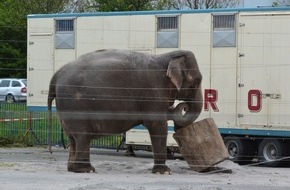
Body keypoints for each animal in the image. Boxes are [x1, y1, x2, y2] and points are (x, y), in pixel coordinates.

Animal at [47, 48, 203, 174]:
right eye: (195, 82)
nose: (184, 106)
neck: (166, 56)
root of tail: (56, 75)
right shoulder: (152, 92)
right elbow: (157, 125)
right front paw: (164, 172)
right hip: (75, 105)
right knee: (82, 136)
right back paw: (87, 170)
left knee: (73, 138)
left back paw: (72, 169)